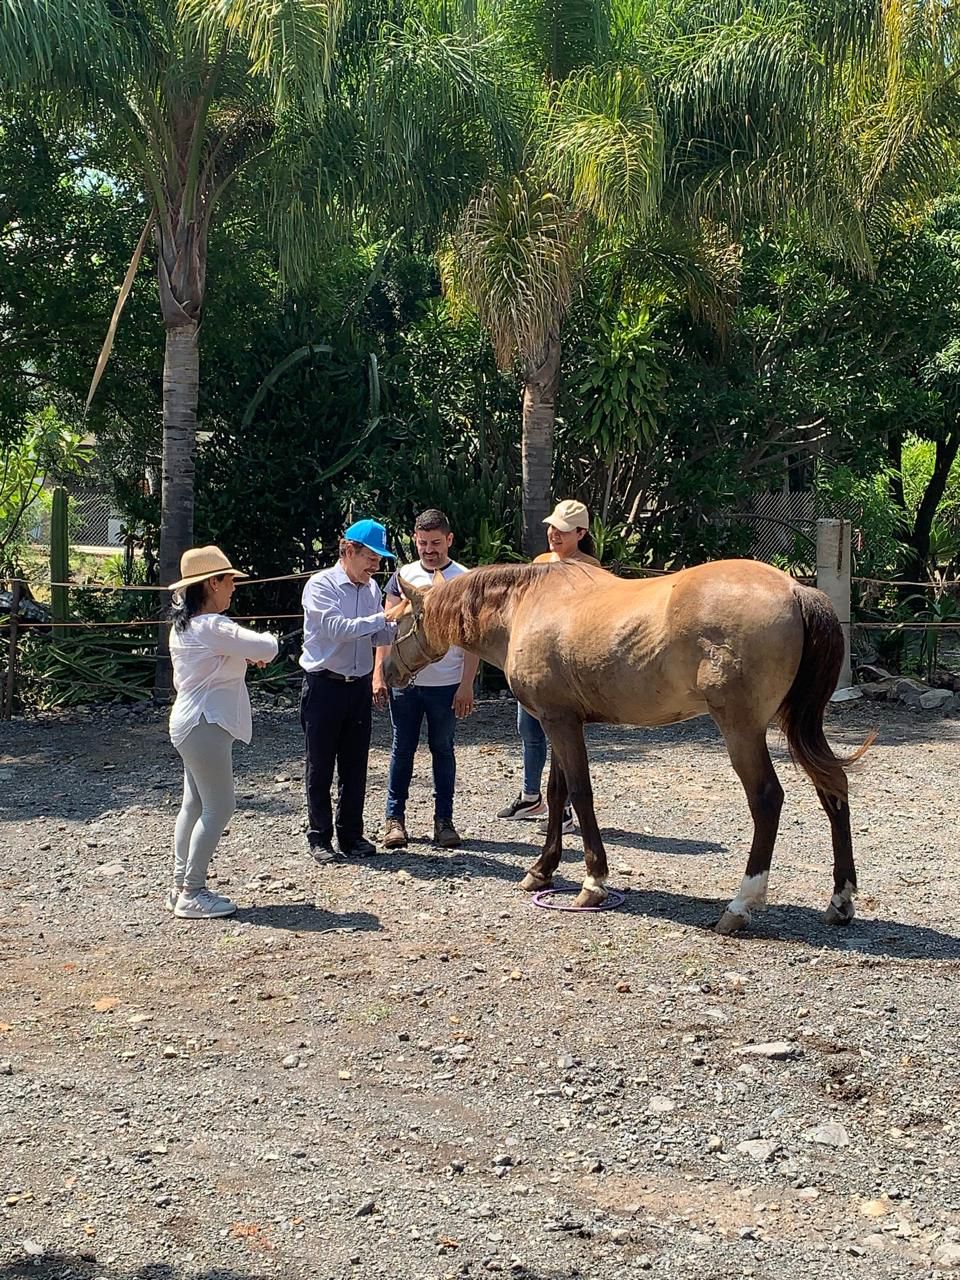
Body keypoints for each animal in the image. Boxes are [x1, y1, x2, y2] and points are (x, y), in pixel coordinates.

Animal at [380, 559, 872, 934]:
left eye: (397, 620)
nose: (387, 675)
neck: (526, 607)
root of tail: (795, 589)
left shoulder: (559, 723)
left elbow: (580, 794)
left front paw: (592, 883)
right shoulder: (561, 720)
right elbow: (557, 794)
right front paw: (542, 870)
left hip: (742, 730)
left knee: (768, 799)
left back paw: (739, 906)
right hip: (800, 727)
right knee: (833, 787)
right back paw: (841, 900)